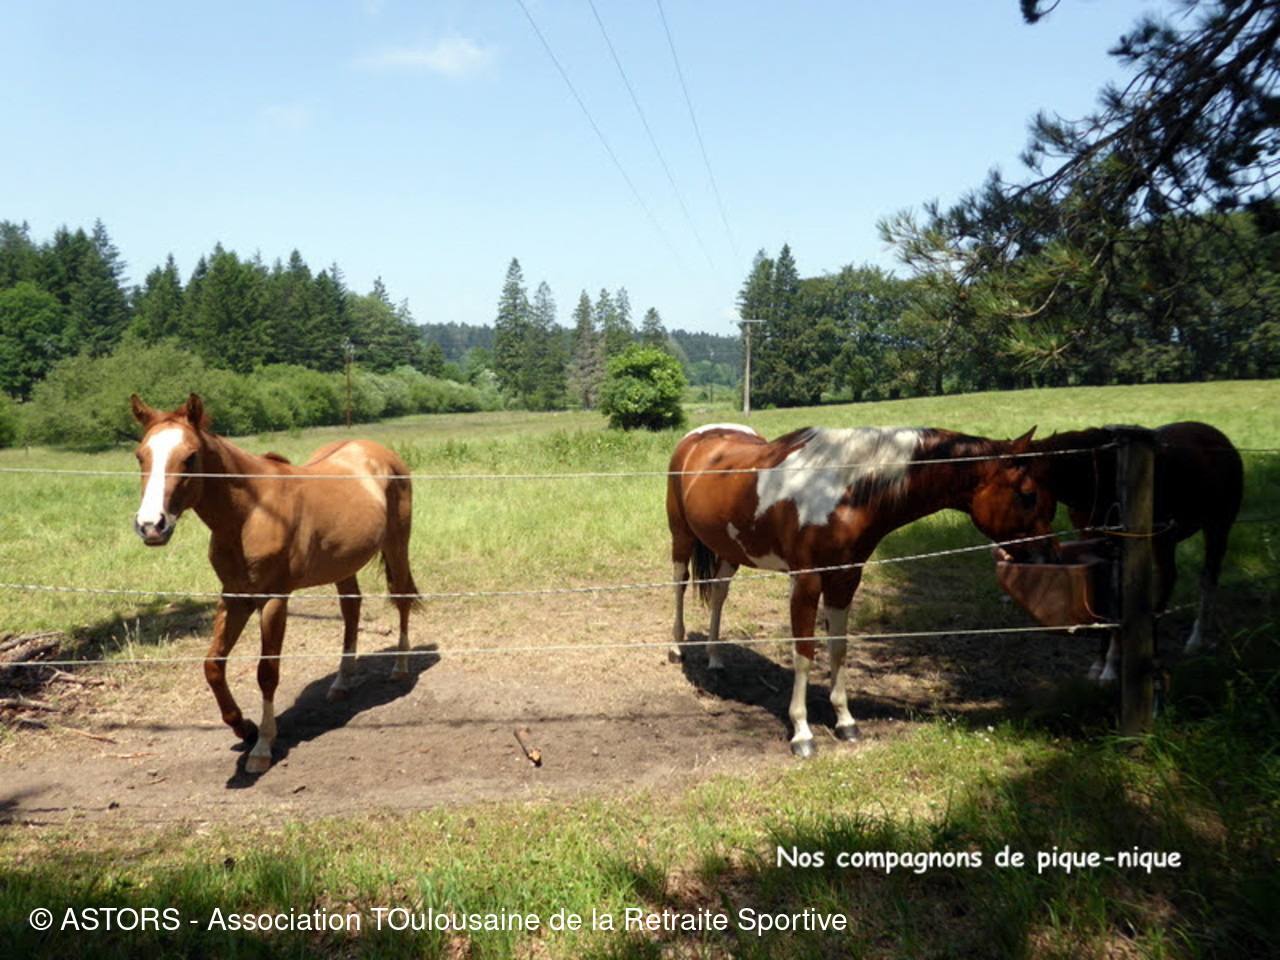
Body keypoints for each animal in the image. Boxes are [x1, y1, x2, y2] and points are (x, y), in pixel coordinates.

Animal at [130, 393, 422, 774]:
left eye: (190, 456)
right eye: (140, 455)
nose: (151, 526)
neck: (250, 513)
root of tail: (380, 453)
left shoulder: (273, 599)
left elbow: (266, 672)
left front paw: (263, 746)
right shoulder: (234, 597)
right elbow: (213, 666)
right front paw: (244, 727)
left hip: (397, 544)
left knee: (400, 598)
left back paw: (400, 667)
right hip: (344, 563)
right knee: (351, 607)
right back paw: (342, 681)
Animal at [667, 423, 1056, 757]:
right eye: (1027, 495)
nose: (1048, 555)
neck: (843, 489)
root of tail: (700, 436)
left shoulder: (846, 577)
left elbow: (838, 648)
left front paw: (845, 722)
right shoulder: (806, 580)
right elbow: (804, 653)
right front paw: (802, 733)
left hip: (729, 549)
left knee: (719, 594)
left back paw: (715, 657)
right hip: (682, 537)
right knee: (679, 584)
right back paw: (676, 648)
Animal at [1030, 421, 1243, 681]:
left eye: (1028, 493)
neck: (1099, 474)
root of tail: (1222, 440)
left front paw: (1111, 668)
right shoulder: (1097, 544)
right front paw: (1100, 664)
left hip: (1215, 529)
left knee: (1206, 580)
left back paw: (1192, 641)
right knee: (1170, 578)